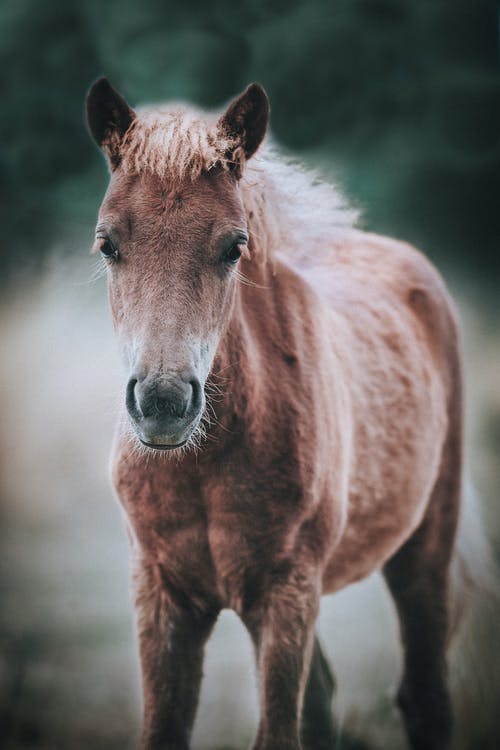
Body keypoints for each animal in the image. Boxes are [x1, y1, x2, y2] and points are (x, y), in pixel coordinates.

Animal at [86, 78, 464, 750]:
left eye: (234, 247)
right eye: (109, 244)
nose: (163, 402)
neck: (206, 464)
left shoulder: (285, 591)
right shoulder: (161, 595)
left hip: (423, 549)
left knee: (425, 697)